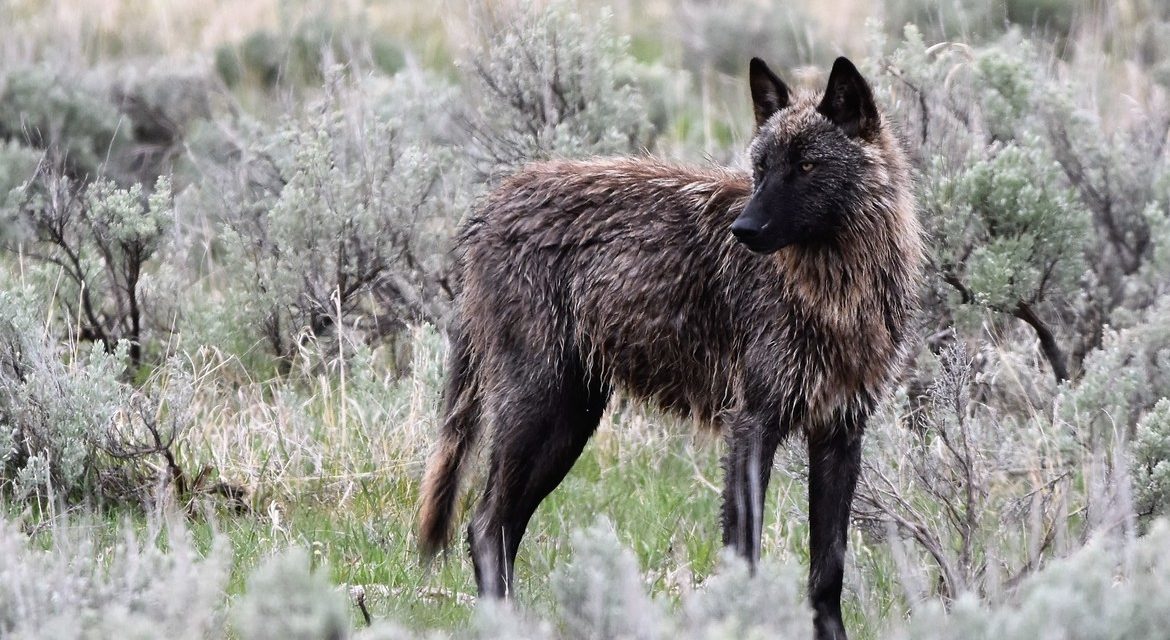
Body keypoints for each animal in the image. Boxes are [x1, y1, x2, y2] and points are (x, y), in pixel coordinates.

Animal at [419, 56, 923, 640]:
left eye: (806, 166)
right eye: (761, 166)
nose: (743, 228)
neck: (833, 293)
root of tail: (486, 208)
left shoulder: (840, 434)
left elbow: (827, 572)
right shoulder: (753, 425)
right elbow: (745, 559)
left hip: (568, 422)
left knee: (497, 526)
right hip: (539, 414)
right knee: (484, 526)